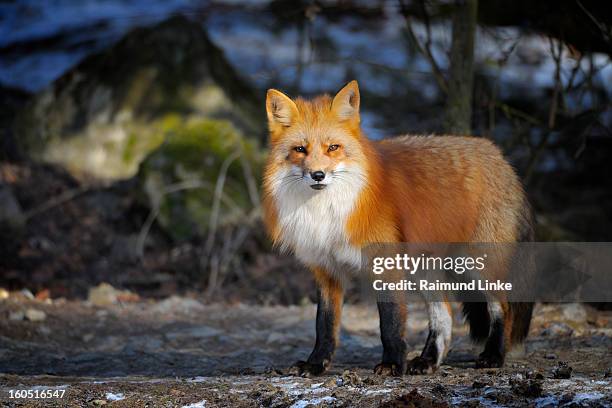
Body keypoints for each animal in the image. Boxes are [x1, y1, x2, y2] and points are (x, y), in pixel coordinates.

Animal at [260, 79, 532, 376]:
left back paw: (494, 355)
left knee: (502, 307)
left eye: (333, 147)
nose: (318, 175)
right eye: (300, 150)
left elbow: (389, 321)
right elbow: (324, 324)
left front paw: (391, 363)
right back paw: (427, 360)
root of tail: (498, 154)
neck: (327, 211)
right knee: (445, 316)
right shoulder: (326, 269)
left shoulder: (385, 263)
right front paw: (316, 363)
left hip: (478, 263)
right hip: (427, 270)